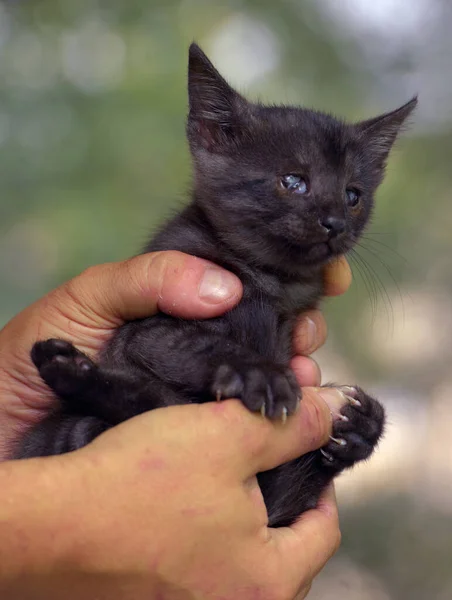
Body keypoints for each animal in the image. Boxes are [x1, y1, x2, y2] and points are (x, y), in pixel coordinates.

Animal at [15, 44, 416, 528]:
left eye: (353, 195)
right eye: (293, 181)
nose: (335, 221)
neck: (270, 282)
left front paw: (360, 428)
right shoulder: (144, 332)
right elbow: (199, 344)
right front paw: (259, 373)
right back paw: (67, 367)